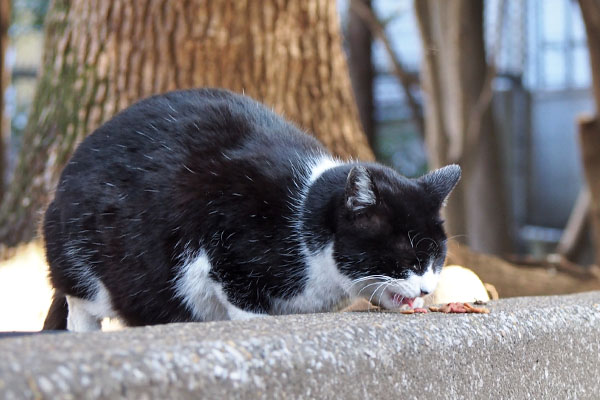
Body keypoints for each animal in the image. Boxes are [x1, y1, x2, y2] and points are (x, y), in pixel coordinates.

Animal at [42, 88, 462, 332]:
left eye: (435, 257)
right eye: (404, 256)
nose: (426, 288)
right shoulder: (222, 236)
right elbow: (239, 297)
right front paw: (258, 322)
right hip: (89, 258)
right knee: (80, 304)